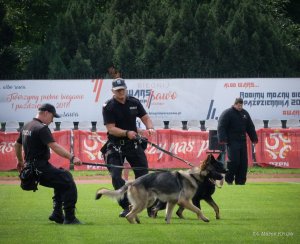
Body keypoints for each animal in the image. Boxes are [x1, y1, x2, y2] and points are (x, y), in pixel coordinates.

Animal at [95, 153, 224, 224]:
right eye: (216, 170)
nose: (223, 176)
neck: (194, 175)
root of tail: (132, 182)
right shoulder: (184, 201)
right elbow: (198, 210)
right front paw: (204, 218)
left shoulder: (172, 202)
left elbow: (168, 214)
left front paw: (168, 223)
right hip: (144, 203)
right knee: (129, 215)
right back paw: (134, 223)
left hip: (148, 201)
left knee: (131, 207)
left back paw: (137, 220)